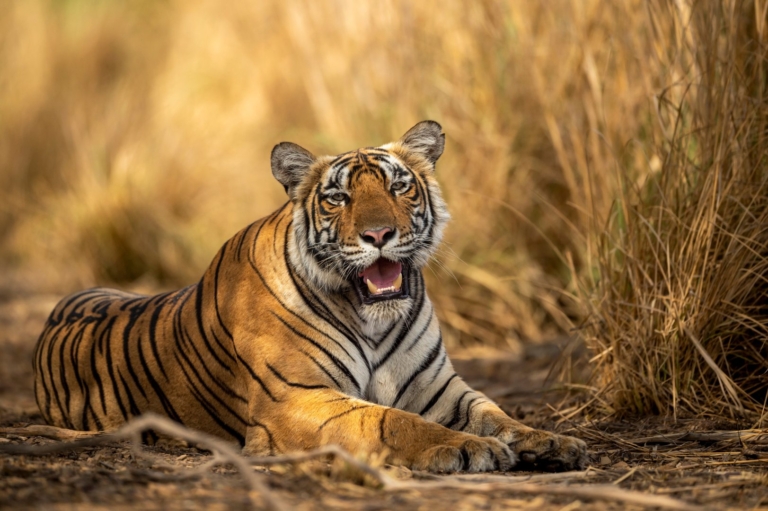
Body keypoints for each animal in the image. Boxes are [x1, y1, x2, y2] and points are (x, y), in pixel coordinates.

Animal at [33, 122, 584, 474]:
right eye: (338, 198)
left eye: (399, 187)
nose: (379, 235)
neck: (372, 317)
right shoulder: (295, 397)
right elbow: (391, 420)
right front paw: (470, 449)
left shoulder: (437, 387)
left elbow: (494, 412)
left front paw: (552, 441)